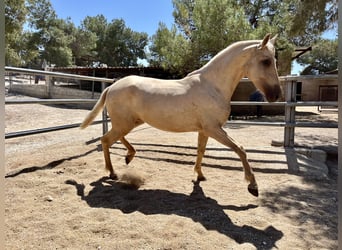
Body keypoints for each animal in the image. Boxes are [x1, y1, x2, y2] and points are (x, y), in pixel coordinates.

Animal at [80, 33, 280, 197]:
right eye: (266, 61)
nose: (276, 96)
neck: (212, 86)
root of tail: (112, 87)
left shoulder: (205, 130)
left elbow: (201, 151)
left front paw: (199, 176)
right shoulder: (214, 129)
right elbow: (241, 149)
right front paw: (253, 185)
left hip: (131, 122)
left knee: (115, 138)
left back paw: (129, 156)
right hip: (125, 123)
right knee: (106, 140)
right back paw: (113, 172)